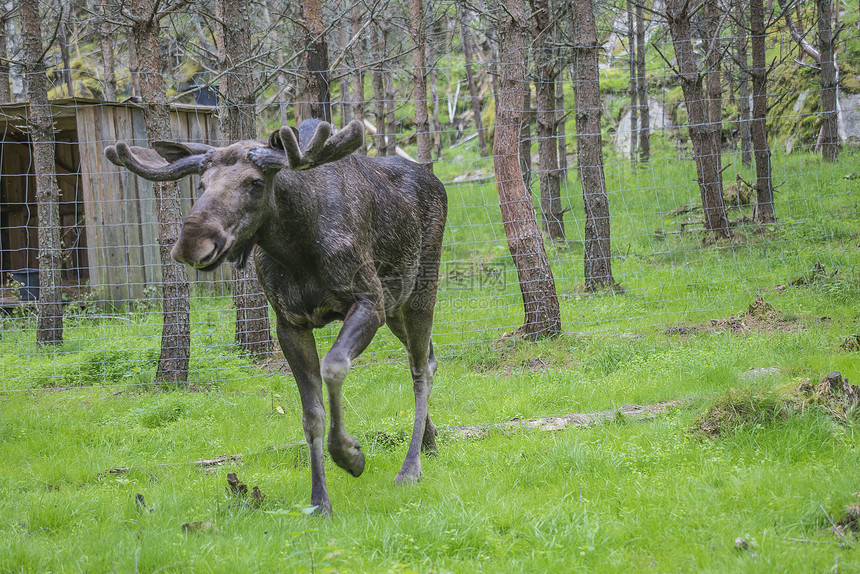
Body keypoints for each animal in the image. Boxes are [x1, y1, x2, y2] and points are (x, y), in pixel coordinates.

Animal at [104, 120, 446, 516]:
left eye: (255, 182)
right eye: (201, 183)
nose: (191, 244)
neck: (296, 248)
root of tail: (436, 181)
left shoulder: (368, 301)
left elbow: (334, 366)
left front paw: (350, 455)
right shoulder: (289, 322)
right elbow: (310, 415)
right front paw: (319, 502)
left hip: (419, 291)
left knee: (420, 368)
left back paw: (410, 468)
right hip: (395, 306)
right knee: (428, 356)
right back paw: (430, 442)